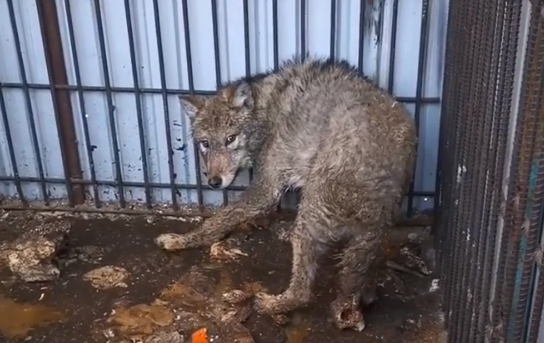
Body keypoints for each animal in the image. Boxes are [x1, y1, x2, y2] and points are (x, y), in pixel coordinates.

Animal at [155, 57, 418, 332]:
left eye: (230, 139)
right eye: (205, 143)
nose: (214, 182)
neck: (266, 110)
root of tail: (381, 205)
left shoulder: (264, 192)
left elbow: (216, 221)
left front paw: (182, 239)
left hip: (309, 215)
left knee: (303, 292)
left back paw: (271, 304)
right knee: (363, 285)